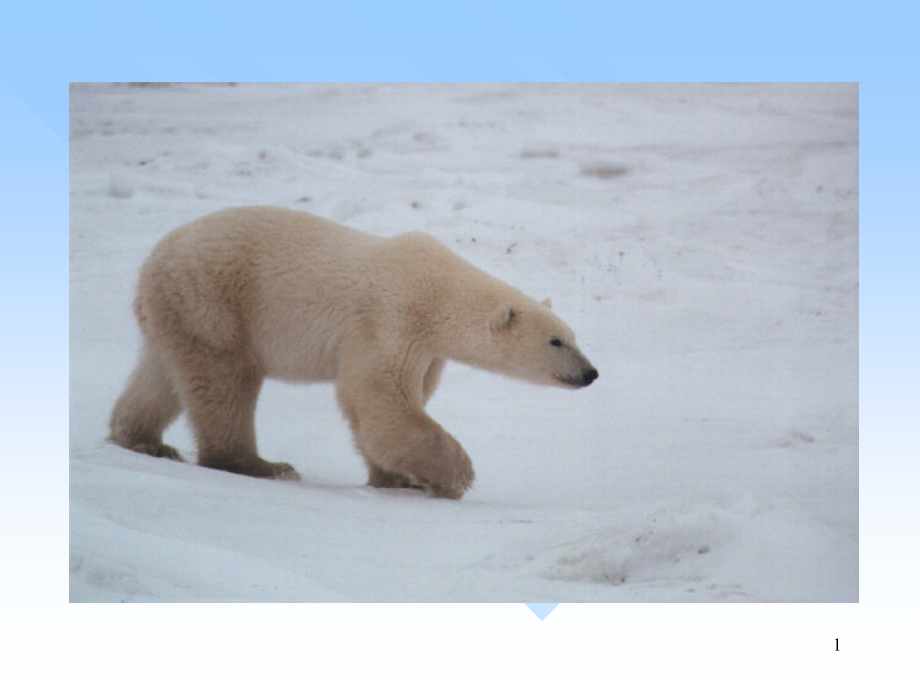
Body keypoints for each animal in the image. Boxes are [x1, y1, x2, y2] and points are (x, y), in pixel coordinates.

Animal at [109, 204, 596, 494]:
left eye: (575, 336)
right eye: (556, 341)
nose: (590, 373)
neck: (437, 292)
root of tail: (153, 260)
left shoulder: (427, 348)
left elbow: (385, 407)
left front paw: (396, 477)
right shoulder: (391, 317)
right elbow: (379, 394)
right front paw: (455, 475)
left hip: (179, 312)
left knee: (161, 374)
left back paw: (143, 441)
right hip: (216, 301)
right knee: (224, 381)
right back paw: (261, 464)